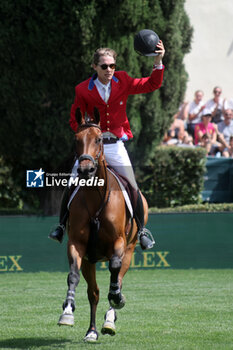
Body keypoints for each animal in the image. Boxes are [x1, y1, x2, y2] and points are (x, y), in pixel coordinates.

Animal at [58, 108, 149, 342]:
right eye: (76, 139)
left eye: (99, 139)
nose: (85, 169)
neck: (94, 198)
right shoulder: (77, 245)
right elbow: (73, 276)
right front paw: (67, 312)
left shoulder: (119, 243)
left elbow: (114, 270)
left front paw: (117, 299)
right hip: (89, 261)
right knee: (94, 293)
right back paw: (92, 331)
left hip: (130, 249)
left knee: (117, 278)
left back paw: (110, 320)